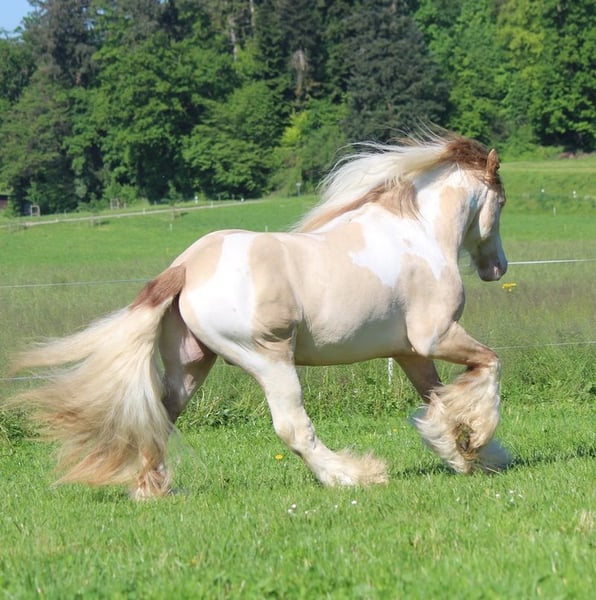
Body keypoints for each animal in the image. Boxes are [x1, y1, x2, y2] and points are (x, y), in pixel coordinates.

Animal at [10, 132, 511, 499]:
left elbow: (439, 400)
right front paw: (479, 443)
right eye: (502, 203)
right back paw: (354, 475)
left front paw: (467, 454)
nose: (497, 268)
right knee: (293, 428)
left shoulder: (409, 353)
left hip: (191, 365)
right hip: (270, 360)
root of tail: (185, 266)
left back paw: (151, 490)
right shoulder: (435, 336)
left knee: (159, 416)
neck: (419, 234)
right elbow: (488, 366)